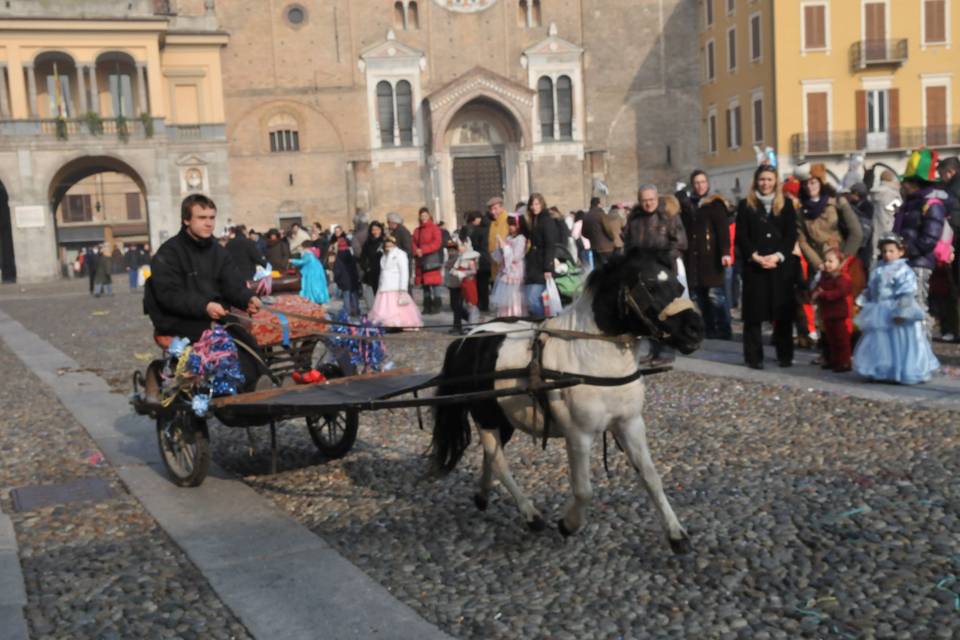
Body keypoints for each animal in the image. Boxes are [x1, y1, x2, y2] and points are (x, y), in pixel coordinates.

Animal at [432, 250, 700, 556]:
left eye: (679, 286)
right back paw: (530, 514)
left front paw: (676, 534)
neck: (591, 356)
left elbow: (651, 477)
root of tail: (466, 339)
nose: (696, 329)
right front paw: (568, 524)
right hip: (486, 415)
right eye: (652, 287)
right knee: (497, 459)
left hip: (505, 419)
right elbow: (584, 490)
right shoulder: (579, 434)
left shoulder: (630, 423)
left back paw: (483, 495)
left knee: (491, 456)